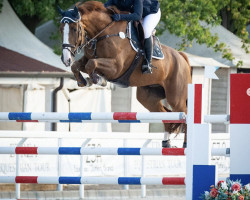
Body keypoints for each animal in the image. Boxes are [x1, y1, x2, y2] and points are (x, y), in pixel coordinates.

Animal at [58, 0, 191, 147]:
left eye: (74, 29)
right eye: (61, 29)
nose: (65, 59)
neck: (102, 33)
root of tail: (181, 56)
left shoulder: (116, 67)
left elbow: (91, 64)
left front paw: (98, 80)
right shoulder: (88, 58)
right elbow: (78, 65)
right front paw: (83, 81)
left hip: (176, 97)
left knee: (184, 113)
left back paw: (185, 144)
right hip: (148, 97)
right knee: (165, 115)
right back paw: (166, 143)